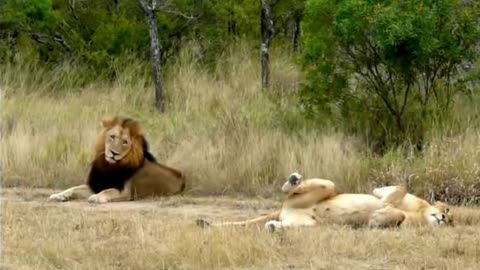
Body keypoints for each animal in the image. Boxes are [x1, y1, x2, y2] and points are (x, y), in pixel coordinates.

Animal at [49, 115, 186, 202]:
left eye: (125, 142)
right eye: (112, 136)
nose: (113, 153)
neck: (108, 166)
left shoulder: (126, 192)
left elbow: (108, 191)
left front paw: (96, 197)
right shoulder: (96, 185)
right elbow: (73, 188)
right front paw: (58, 195)